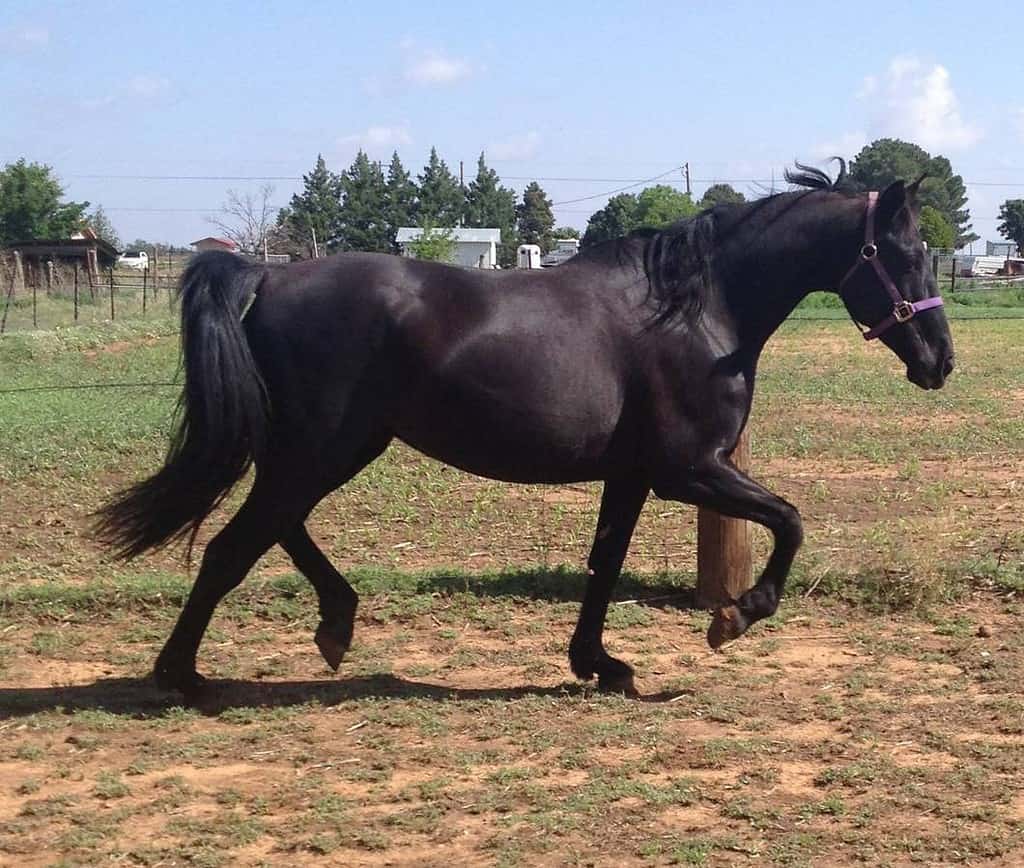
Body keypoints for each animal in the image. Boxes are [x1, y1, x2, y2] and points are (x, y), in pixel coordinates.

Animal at [96, 162, 950, 696]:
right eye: (902, 252)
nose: (940, 361)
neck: (696, 312)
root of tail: (269, 274)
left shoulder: (631, 475)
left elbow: (604, 565)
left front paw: (599, 664)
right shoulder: (688, 468)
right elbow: (792, 520)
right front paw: (734, 617)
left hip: (332, 447)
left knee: (275, 529)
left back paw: (333, 624)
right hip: (321, 448)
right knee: (233, 546)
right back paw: (183, 675)